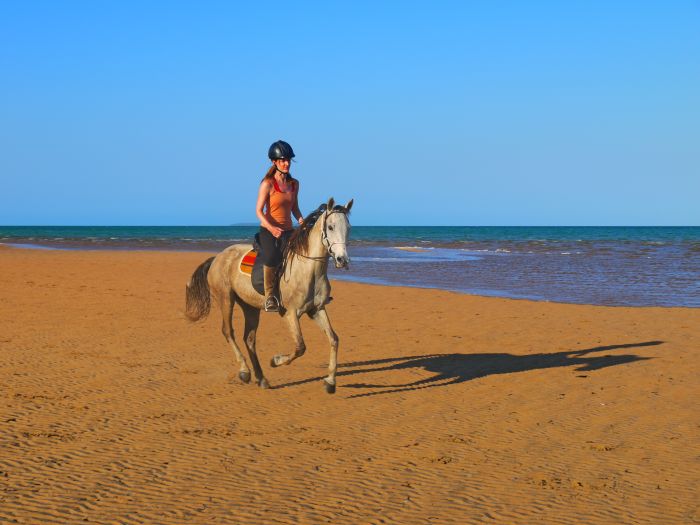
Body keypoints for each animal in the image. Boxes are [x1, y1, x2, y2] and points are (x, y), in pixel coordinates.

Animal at [183, 196, 352, 392]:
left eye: (348, 228)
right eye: (330, 227)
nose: (342, 260)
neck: (308, 269)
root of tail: (217, 257)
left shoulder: (317, 309)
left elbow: (334, 339)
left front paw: (330, 381)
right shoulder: (290, 314)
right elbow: (300, 347)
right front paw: (275, 360)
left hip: (250, 307)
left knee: (249, 338)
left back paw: (261, 378)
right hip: (226, 299)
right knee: (228, 332)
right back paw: (245, 371)